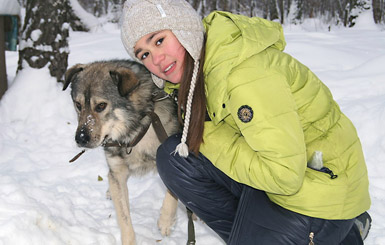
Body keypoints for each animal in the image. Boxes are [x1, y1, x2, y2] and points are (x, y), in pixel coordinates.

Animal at [63, 59, 181, 245]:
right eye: (78, 105)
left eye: (101, 106)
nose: (80, 139)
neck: (133, 132)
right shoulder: (117, 172)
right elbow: (124, 218)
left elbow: (172, 190)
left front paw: (166, 221)